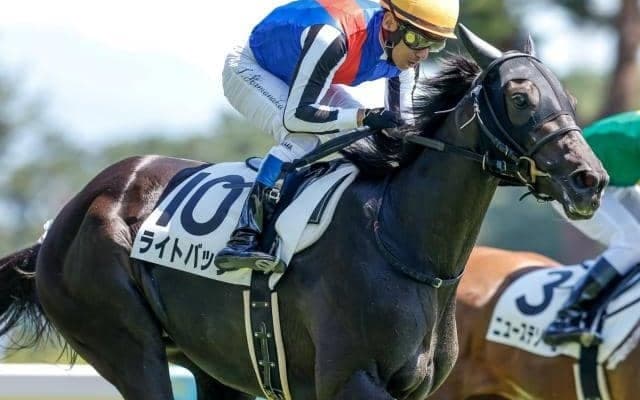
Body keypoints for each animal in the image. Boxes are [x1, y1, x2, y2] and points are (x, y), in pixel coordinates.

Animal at [0, 26, 606, 400]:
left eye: (570, 100)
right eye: (522, 98)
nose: (590, 180)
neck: (400, 239)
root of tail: (63, 221)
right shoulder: (350, 380)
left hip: (212, 364)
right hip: (124, 341)